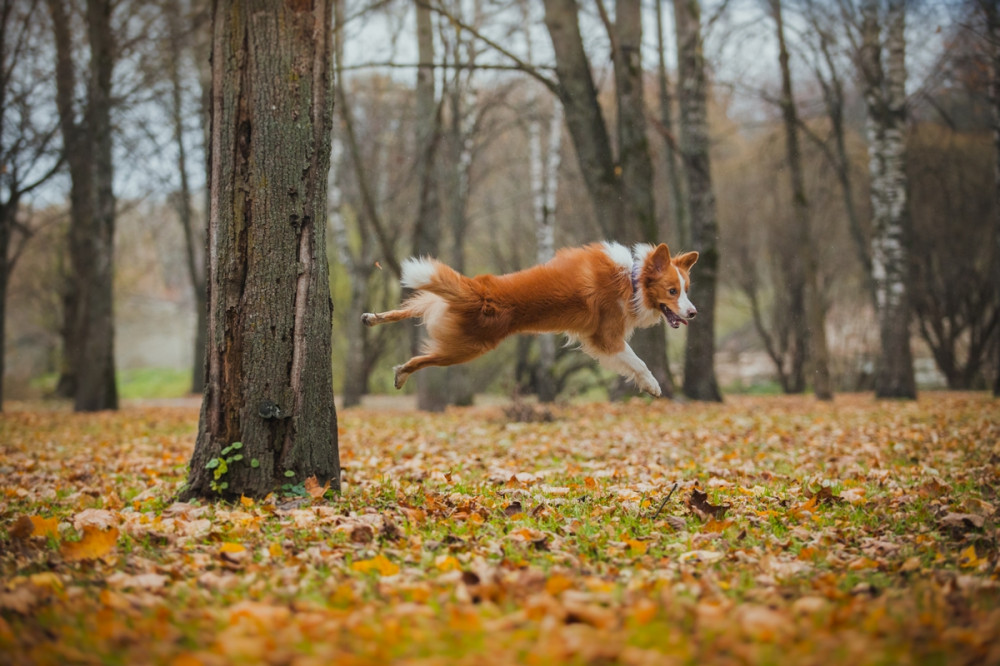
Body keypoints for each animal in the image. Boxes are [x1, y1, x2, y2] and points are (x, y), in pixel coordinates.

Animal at [360, 241, 696, 394]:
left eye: (686, 289)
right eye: (672, 290)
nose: (693, 313)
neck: (632, 278)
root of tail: (478, 290)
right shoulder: (606, 338)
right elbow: (638, 362)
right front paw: (652, 385)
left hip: (437, 303)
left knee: (408, 309)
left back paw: (372, 318)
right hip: (465, 348)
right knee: (421, 360)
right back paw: (402, 373)